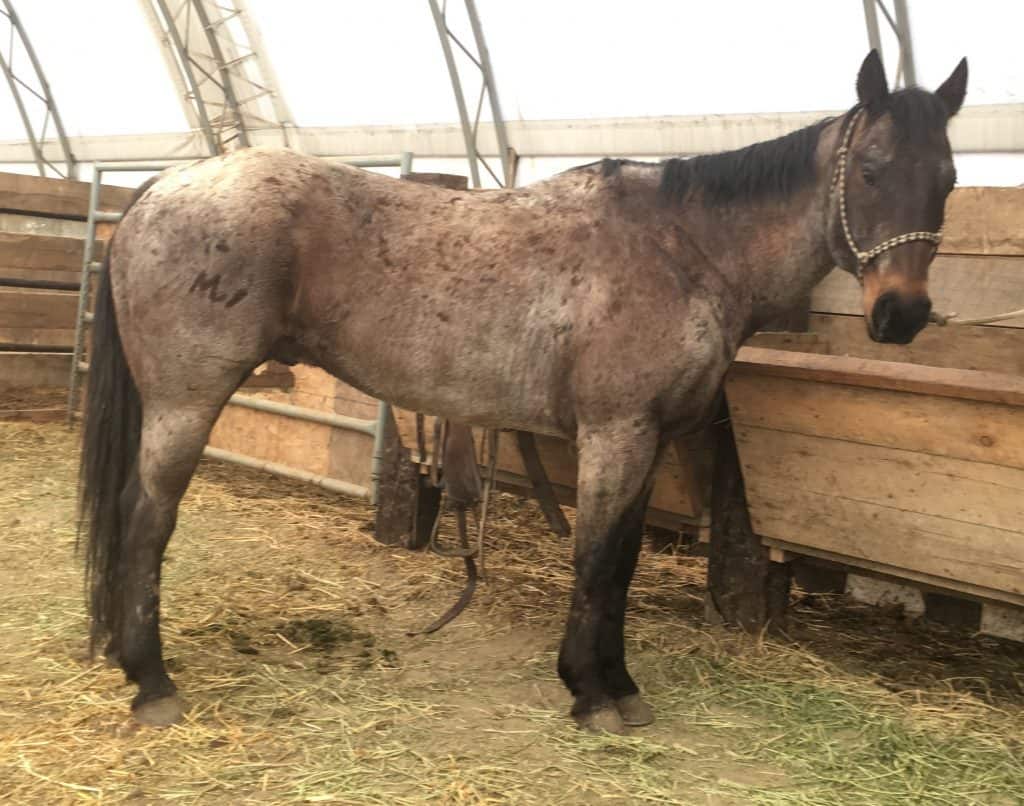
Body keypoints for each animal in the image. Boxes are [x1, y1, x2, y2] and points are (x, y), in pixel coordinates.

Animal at [79, 48, 966, 733]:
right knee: (147, 520)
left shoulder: (645, 442)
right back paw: (152, 682)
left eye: (950, 179)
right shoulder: (616, 432)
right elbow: (597, 559)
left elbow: (623, 562)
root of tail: (164, 187)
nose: (901, 314)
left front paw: (620, 686)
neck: (682, 247)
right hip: (187, 401)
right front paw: (589, 693)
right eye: (873, 169)